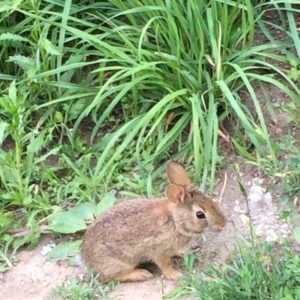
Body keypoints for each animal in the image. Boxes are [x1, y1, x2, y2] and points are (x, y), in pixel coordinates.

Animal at [81, 161, 226, 282]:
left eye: (211, 202)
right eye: (200, 214)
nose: (223, 224)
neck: (175, 221)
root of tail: (87, 260)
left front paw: (184, 252)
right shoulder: (158, 250)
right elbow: (165, 265)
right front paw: (175, 275)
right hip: (120, 262)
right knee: (108, 277)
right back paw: (141, 274)